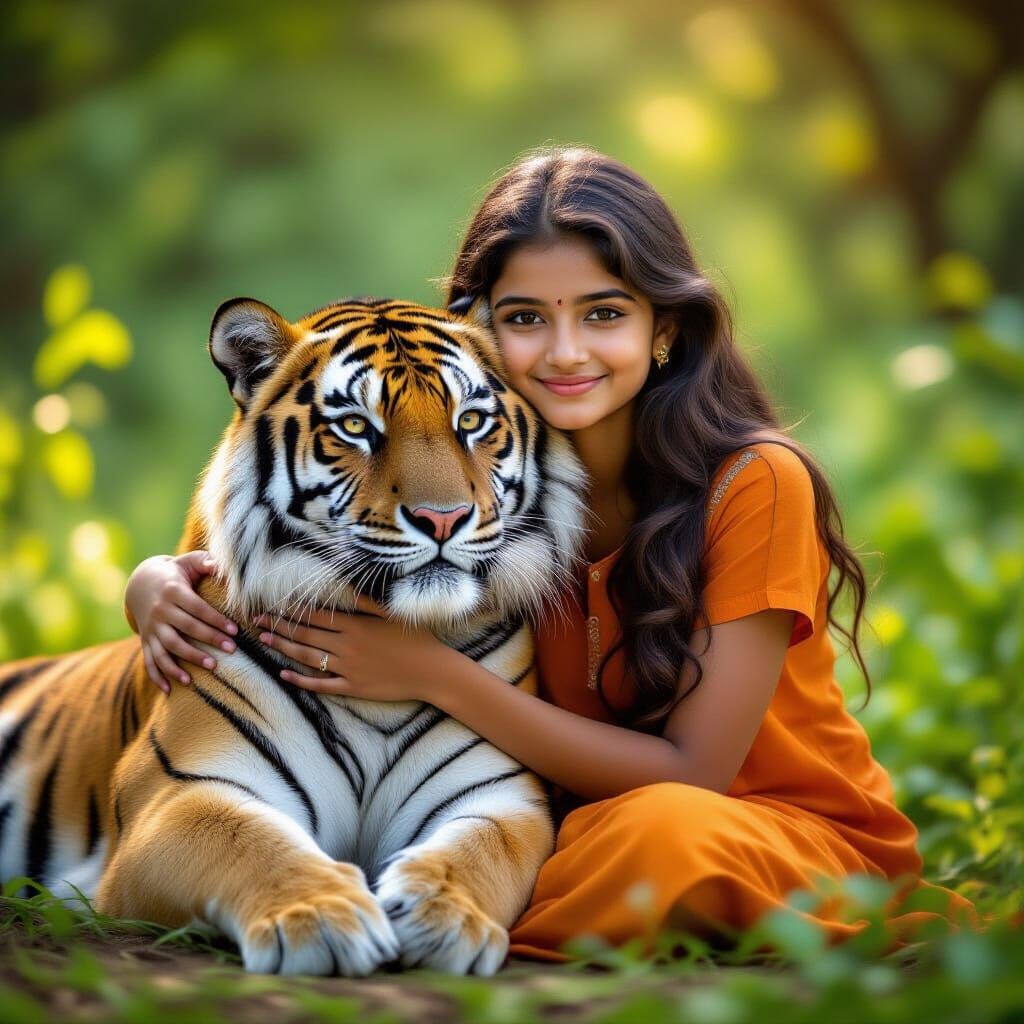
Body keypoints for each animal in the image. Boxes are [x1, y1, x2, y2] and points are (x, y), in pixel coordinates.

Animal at [0, 294, 589, 977]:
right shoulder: (178, 793)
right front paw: (321, 919)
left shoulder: (498, 796)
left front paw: (443, 917)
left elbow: (480, 851)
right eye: (356, 427)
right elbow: (246, 843)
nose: (442, 519)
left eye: (470, 420)